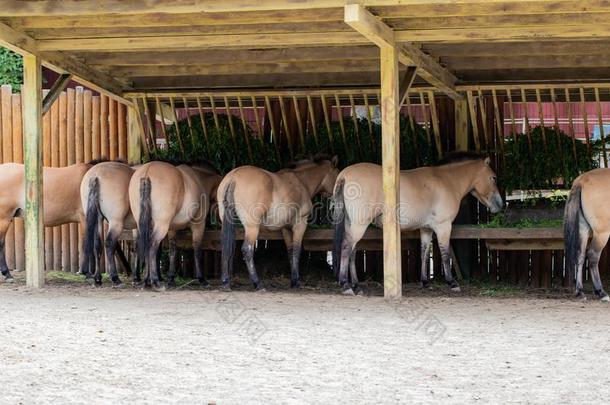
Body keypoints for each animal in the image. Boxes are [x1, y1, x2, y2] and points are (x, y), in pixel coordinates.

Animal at [128, 159, 221, 288]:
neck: (199, 179)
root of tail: (147, 171)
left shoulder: (172, 228)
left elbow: (173, 250)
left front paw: (171, 278)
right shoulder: (198, 225)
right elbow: (197, 249)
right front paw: (202, 279)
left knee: (144, 245)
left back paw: (146, 280)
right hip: (161, 226)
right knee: (152, 245)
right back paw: (155, 281)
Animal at [216, 155, 338, 290]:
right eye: (337, 174)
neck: (301, 182)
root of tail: (234, 177)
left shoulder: (286, 228)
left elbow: (290, 251)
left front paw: (293, 280)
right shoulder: (300, 224)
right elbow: (296, 250)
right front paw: (296, 281)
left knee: (225, 247)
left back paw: (226, 282)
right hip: (252, 227)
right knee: (247, 250)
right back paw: (258, 284)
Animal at [330, 152, 502, 294]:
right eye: (493, 177)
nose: (500, 205)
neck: (446, 181)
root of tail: (344, 175)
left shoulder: (426, 229)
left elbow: (424, 252)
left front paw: (425, 282)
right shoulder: (443, 226)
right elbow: (445, 253)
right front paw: (452, 283)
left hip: (352, 225)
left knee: (352, 251)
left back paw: (356, 286)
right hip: (359, 225)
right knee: (346, 247)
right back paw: (346, 285)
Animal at [560, 166, 608, 300]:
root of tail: (581, 180)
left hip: (583, 229)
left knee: (580, 255)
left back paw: (579, 291)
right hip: (602, 233)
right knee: (592, 255)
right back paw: (601, 292)